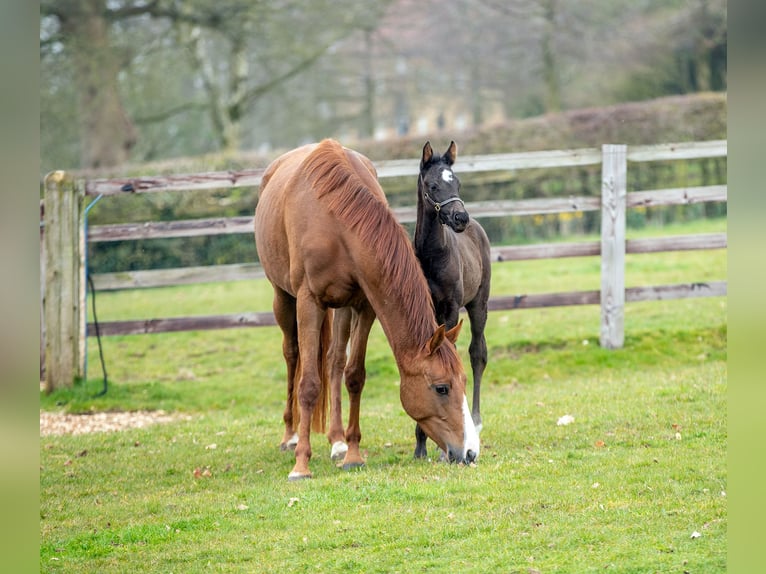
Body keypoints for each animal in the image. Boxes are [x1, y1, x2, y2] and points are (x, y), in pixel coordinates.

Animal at [254, 139, 480, 480]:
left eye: (464, 382)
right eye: (441, 388)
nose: (469, 452)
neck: (335, 221)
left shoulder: (364, 305)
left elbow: (354, 376)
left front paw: (353, 454)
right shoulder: (309, 301)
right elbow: (309, 384)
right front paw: (301, 465)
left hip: (342, 308)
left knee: (334, 361)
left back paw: (336, 440)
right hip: (284, 298)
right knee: (293, 357)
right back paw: (290, 437)